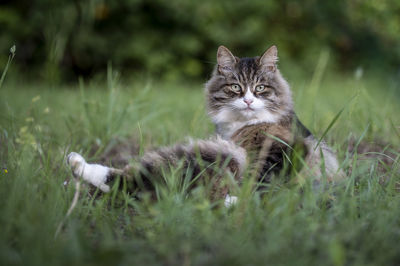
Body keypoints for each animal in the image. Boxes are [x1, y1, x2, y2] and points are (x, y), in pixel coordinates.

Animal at [67, 44, 342, 205]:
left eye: (261, 88)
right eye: (236, 87)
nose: (249, 100)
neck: (242, 125)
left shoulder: (280, 150)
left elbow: (260, 187)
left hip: (210, 157)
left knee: (127, 179)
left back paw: (75, 164)